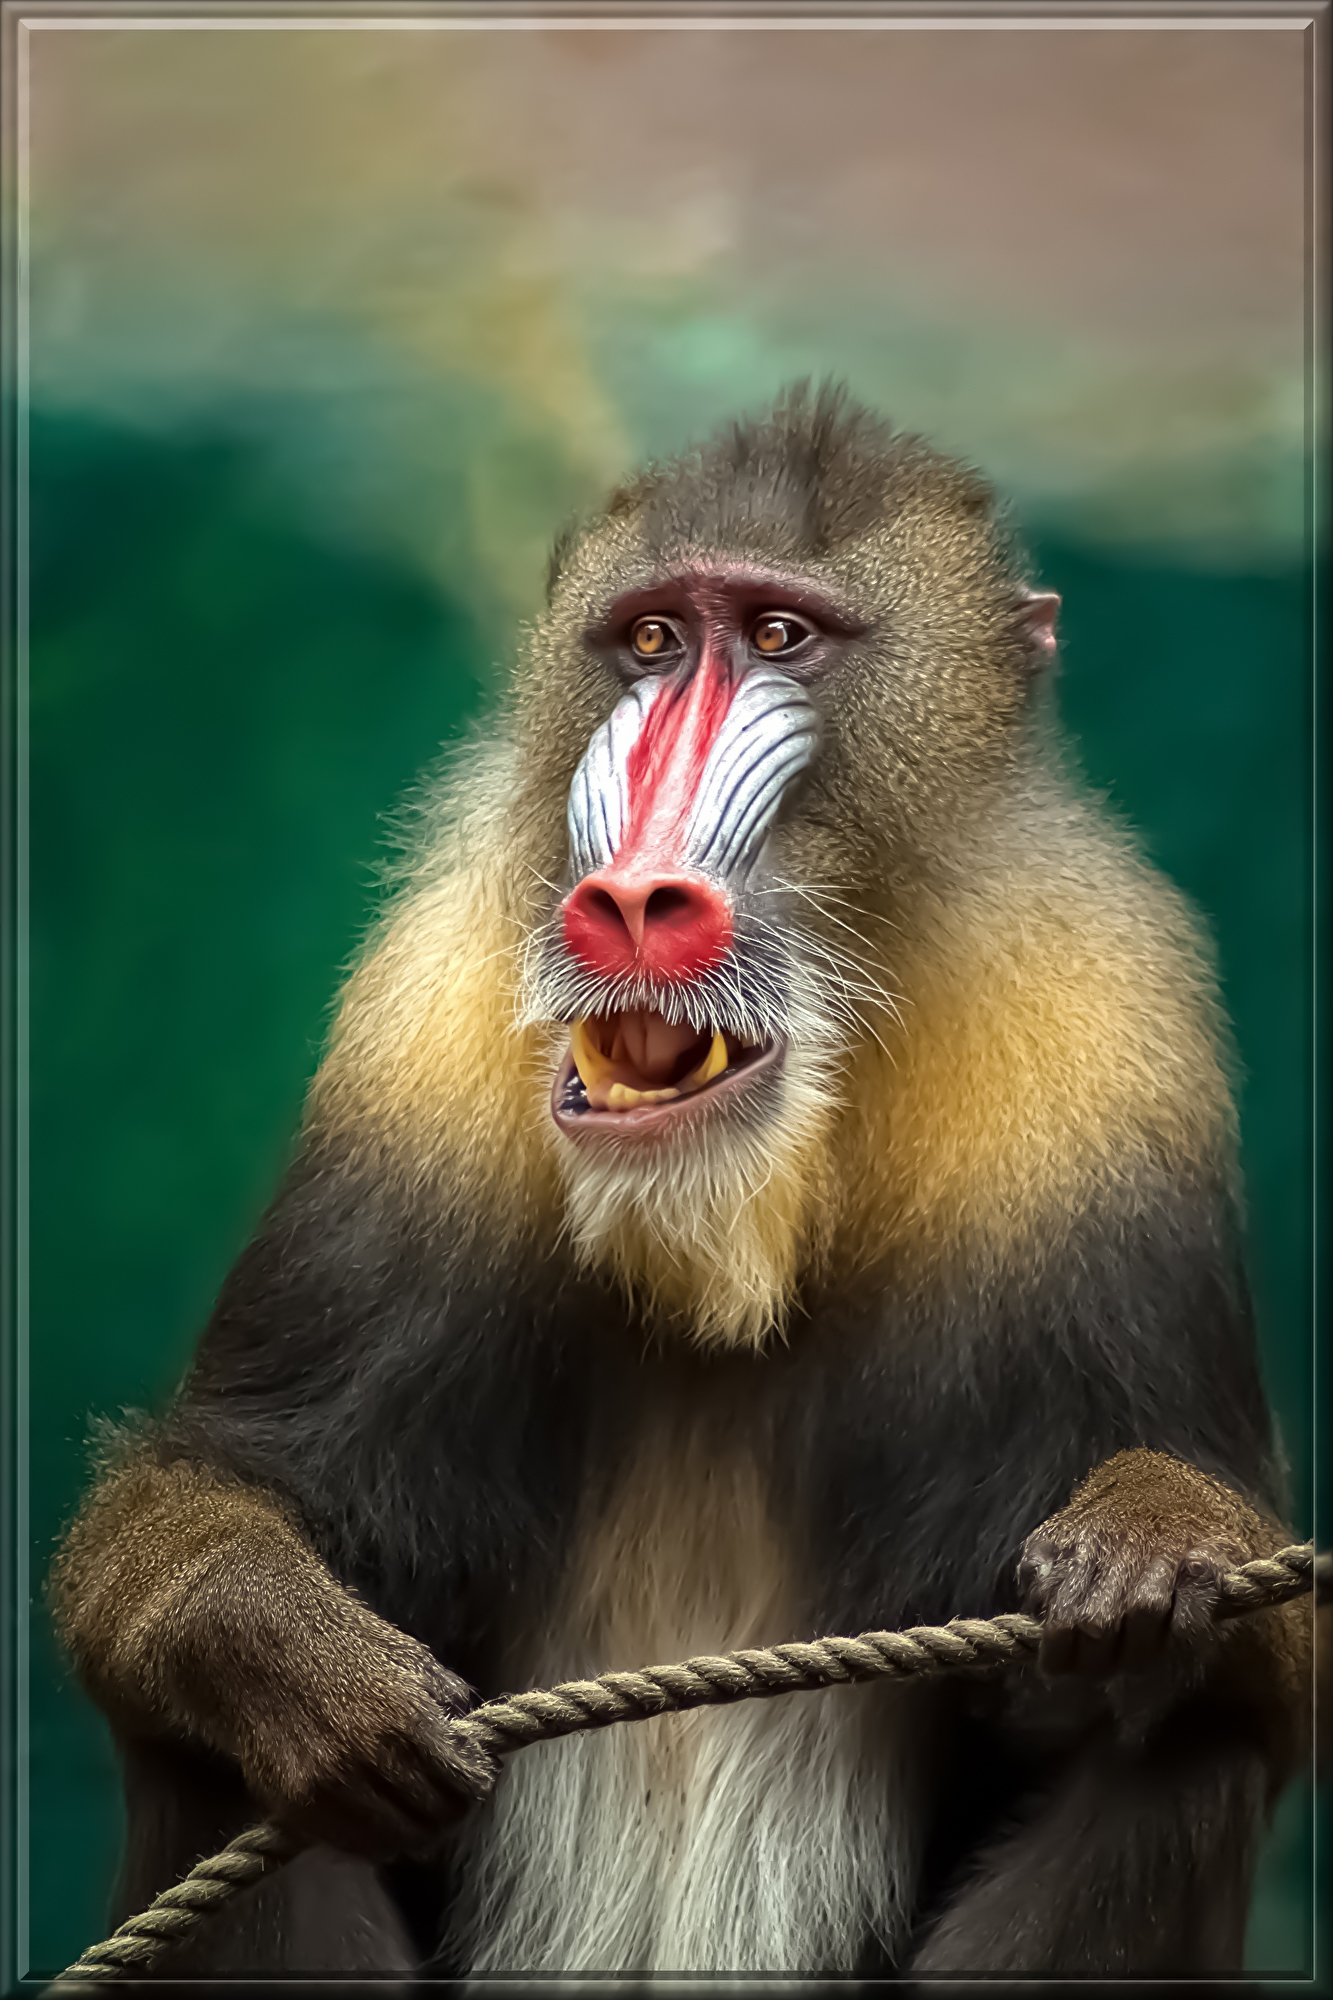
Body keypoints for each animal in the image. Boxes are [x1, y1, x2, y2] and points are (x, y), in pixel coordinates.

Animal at [50, 383, 1311, 1979]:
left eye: (779, 637)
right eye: (651, 641)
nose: (636, 894)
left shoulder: (1107, 1056)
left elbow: (1254, 1676)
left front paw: (1156, 1545)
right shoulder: (423, 1039)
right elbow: (197, 1510)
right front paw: (287, 1657)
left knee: (1171, 1752)